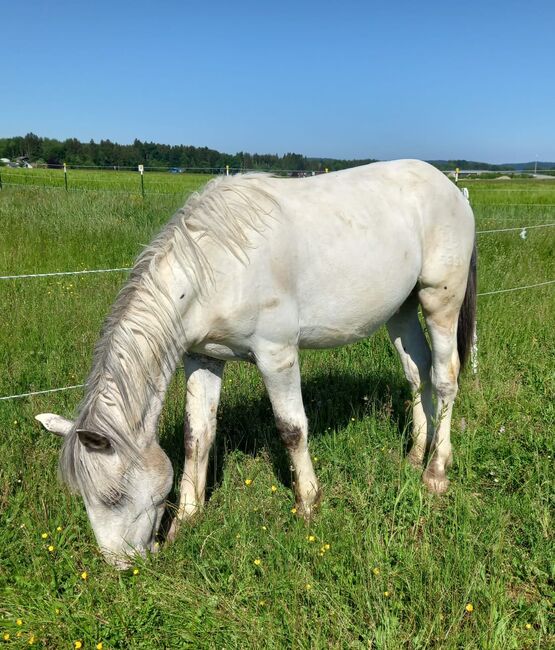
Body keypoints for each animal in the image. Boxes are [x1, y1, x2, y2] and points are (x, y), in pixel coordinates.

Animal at [35, 159, 478, 564]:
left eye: (113, 495)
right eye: (84, 497)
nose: (122, 567)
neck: (213, 268)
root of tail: (451, 189)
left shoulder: (276, 355)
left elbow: (292, 429)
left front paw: (308, 505)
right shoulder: (202, 359)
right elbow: (197, 436)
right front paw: (187, 520)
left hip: (440, 301)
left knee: (444, 378)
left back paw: (435, 472)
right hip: (401, 310)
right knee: (416, 373)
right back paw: (414, 455)